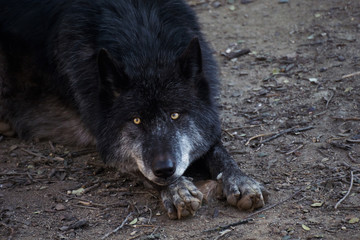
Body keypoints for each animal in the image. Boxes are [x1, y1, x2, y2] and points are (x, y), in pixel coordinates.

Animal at [0, 0, 268, 218]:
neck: (144, 49)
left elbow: (219, 151)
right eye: (137, 120)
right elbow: (140, 168)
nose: (165, 170)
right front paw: (177, 190)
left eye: (175, 114)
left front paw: (240, 180)